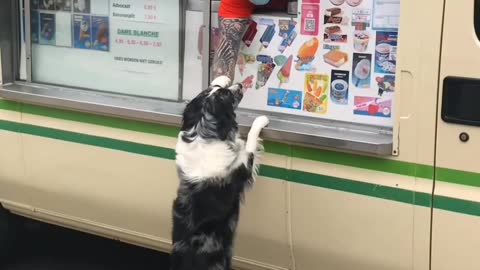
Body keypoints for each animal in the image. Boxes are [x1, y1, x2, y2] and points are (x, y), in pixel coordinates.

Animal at [172, 75, 270, 270]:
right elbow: (250, 142)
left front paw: (221, 77)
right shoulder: (244, 166)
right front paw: (261, 120)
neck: (202, 133)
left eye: (219, 89)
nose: (239, 84)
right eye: (228, 96)